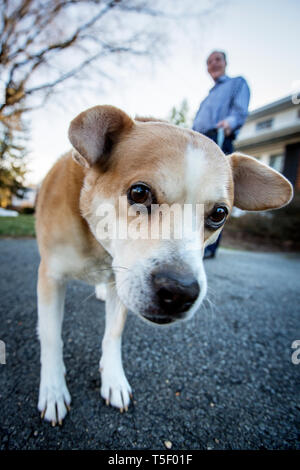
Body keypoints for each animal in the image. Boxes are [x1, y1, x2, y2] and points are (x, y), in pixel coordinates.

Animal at [35, 104, 292, 424]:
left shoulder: (120, 280)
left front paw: (114, 379)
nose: (180, 292)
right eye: (139, 193)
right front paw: (53, 389)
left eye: (219, 213)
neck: (99, 244)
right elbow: (50, 337)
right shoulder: (51, 278)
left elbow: (113, 333)